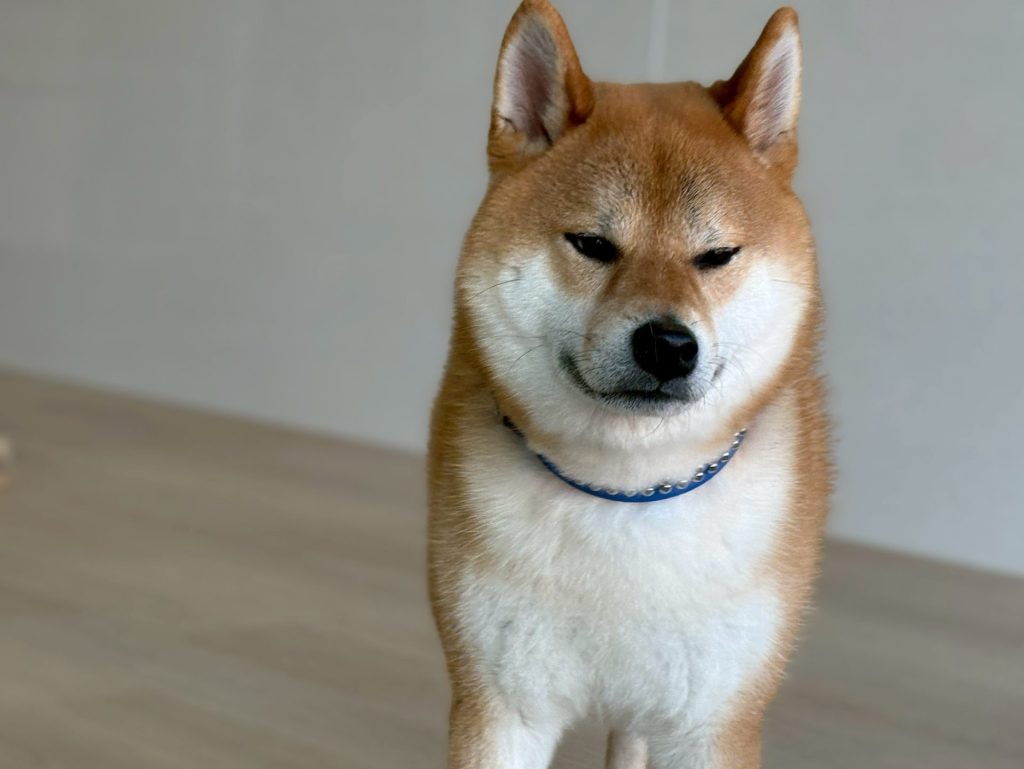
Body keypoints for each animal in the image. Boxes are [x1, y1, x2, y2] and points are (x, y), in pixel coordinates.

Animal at [428, 2, 830, 767]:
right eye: (593, 245)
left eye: (716, 255)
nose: (668, 344)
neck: (627, 491)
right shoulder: (501, 707)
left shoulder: (710, 724)